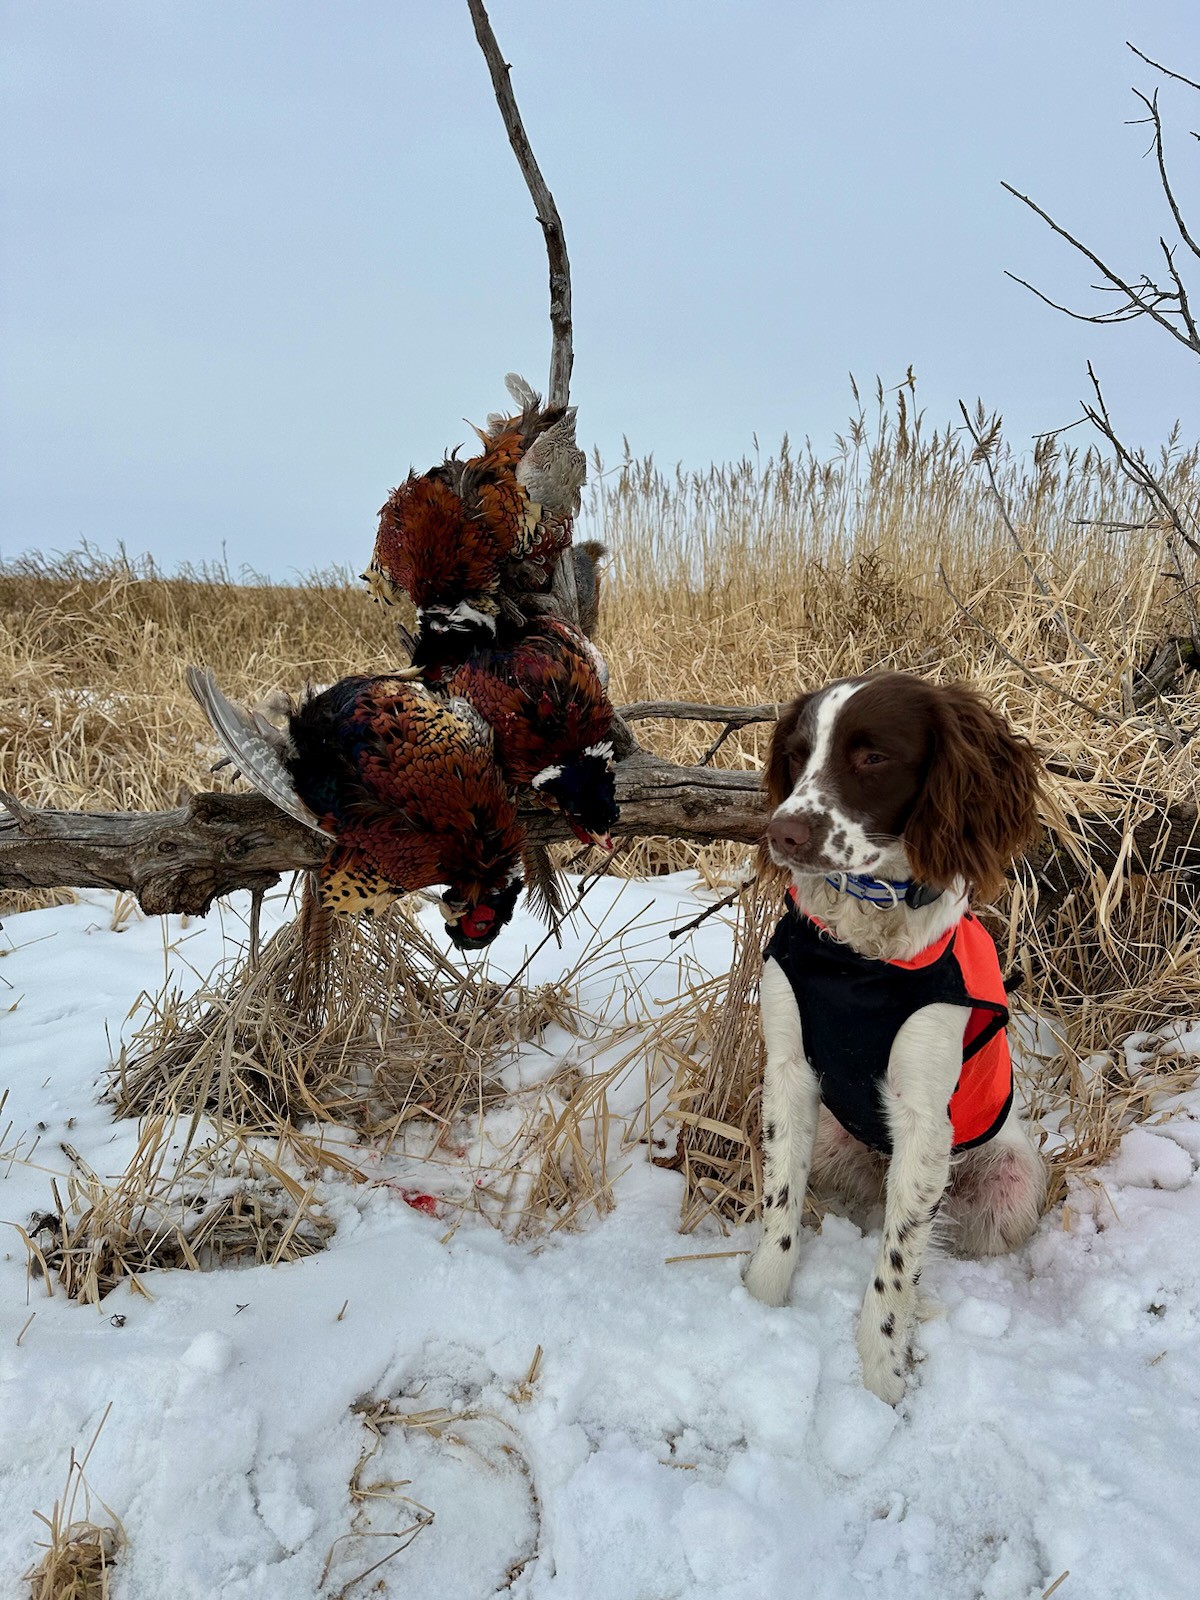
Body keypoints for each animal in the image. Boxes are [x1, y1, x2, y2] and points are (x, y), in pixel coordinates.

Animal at [748, 672, 1049, 1401]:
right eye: (796, 754)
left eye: (873, 756)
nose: (781, 833)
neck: (861, 957)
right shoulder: (789, 1074)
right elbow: (779, 1210)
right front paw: (760, 1305)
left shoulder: (922, 1118)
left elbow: (897, 1265)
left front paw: (883, 1377)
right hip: (835, 1141)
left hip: (1012, 1185)